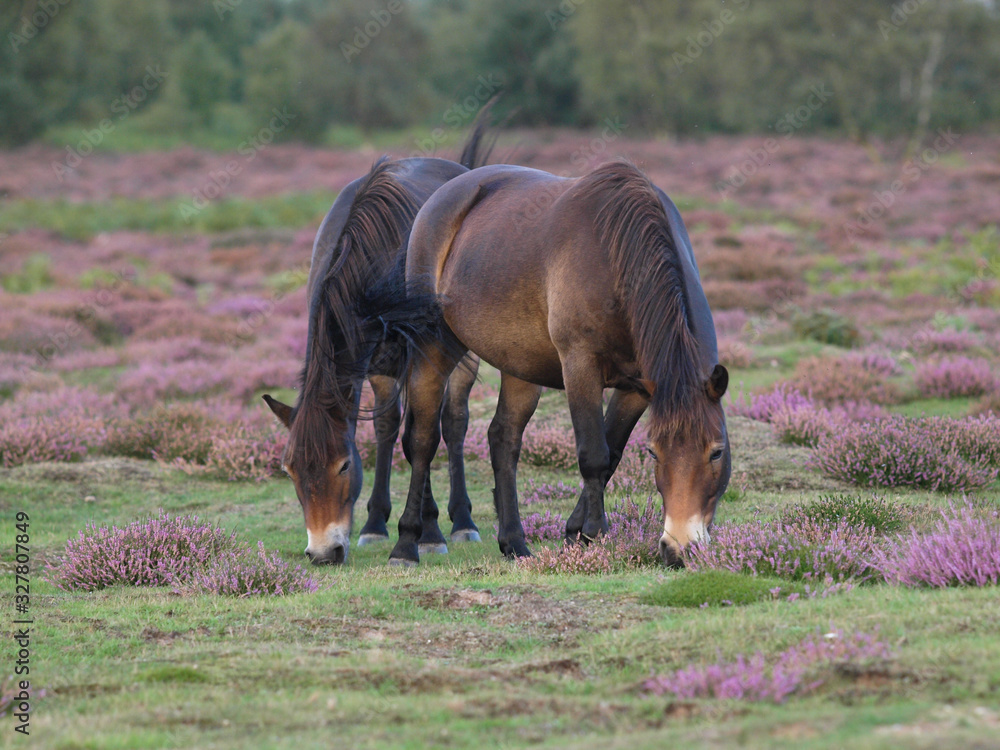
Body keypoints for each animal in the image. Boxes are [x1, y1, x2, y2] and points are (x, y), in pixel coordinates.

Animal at [261, 124, 495, 565]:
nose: (324, 552)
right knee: (392, 428)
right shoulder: (375, 364)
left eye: (343, 466)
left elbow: (422, 438)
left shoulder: (425, 358)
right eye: (290, 470)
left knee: (453, 423)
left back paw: (462, 521)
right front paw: (375, 525)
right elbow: (390, 431)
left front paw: (427, 533)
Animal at [366, 160, 730, 567]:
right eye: (654, 452)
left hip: (519, 365)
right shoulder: (580, 366)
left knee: (503, 438)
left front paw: (574, 534)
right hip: (435, 347)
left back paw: (514, 542)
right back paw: (408, 543)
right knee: (424, 439)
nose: (680, 548)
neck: (618, 257)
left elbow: (613, 451)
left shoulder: (637, 387)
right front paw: (594, 532)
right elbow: (594, 454)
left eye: (717, 451)